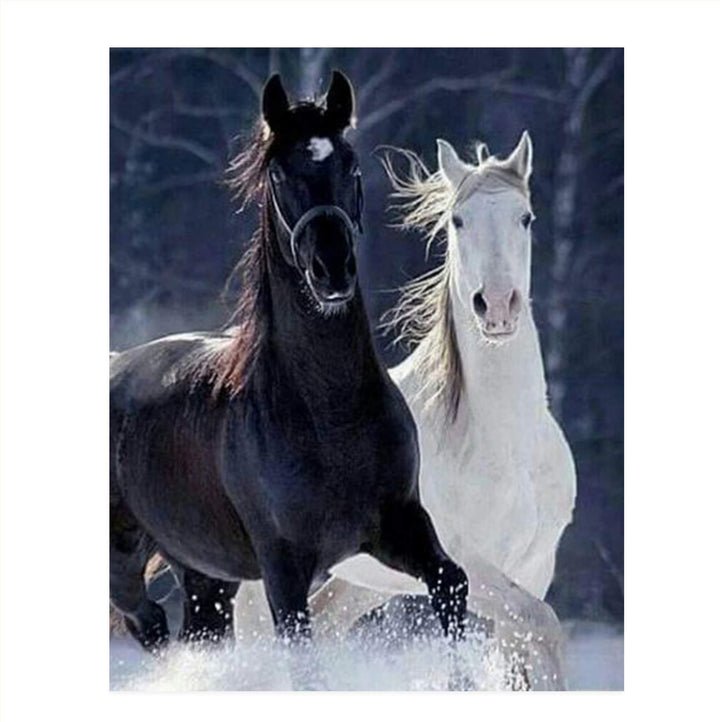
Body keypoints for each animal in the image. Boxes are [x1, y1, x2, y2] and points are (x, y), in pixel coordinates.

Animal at [109, 71, 468, 688]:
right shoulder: (283, 568)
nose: (331, 269)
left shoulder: (399, 524)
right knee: (150, 624)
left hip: (206, 574)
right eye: (279, 174)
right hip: (124, 564)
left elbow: (452, 585)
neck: (329, 413)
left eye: (349, 163)